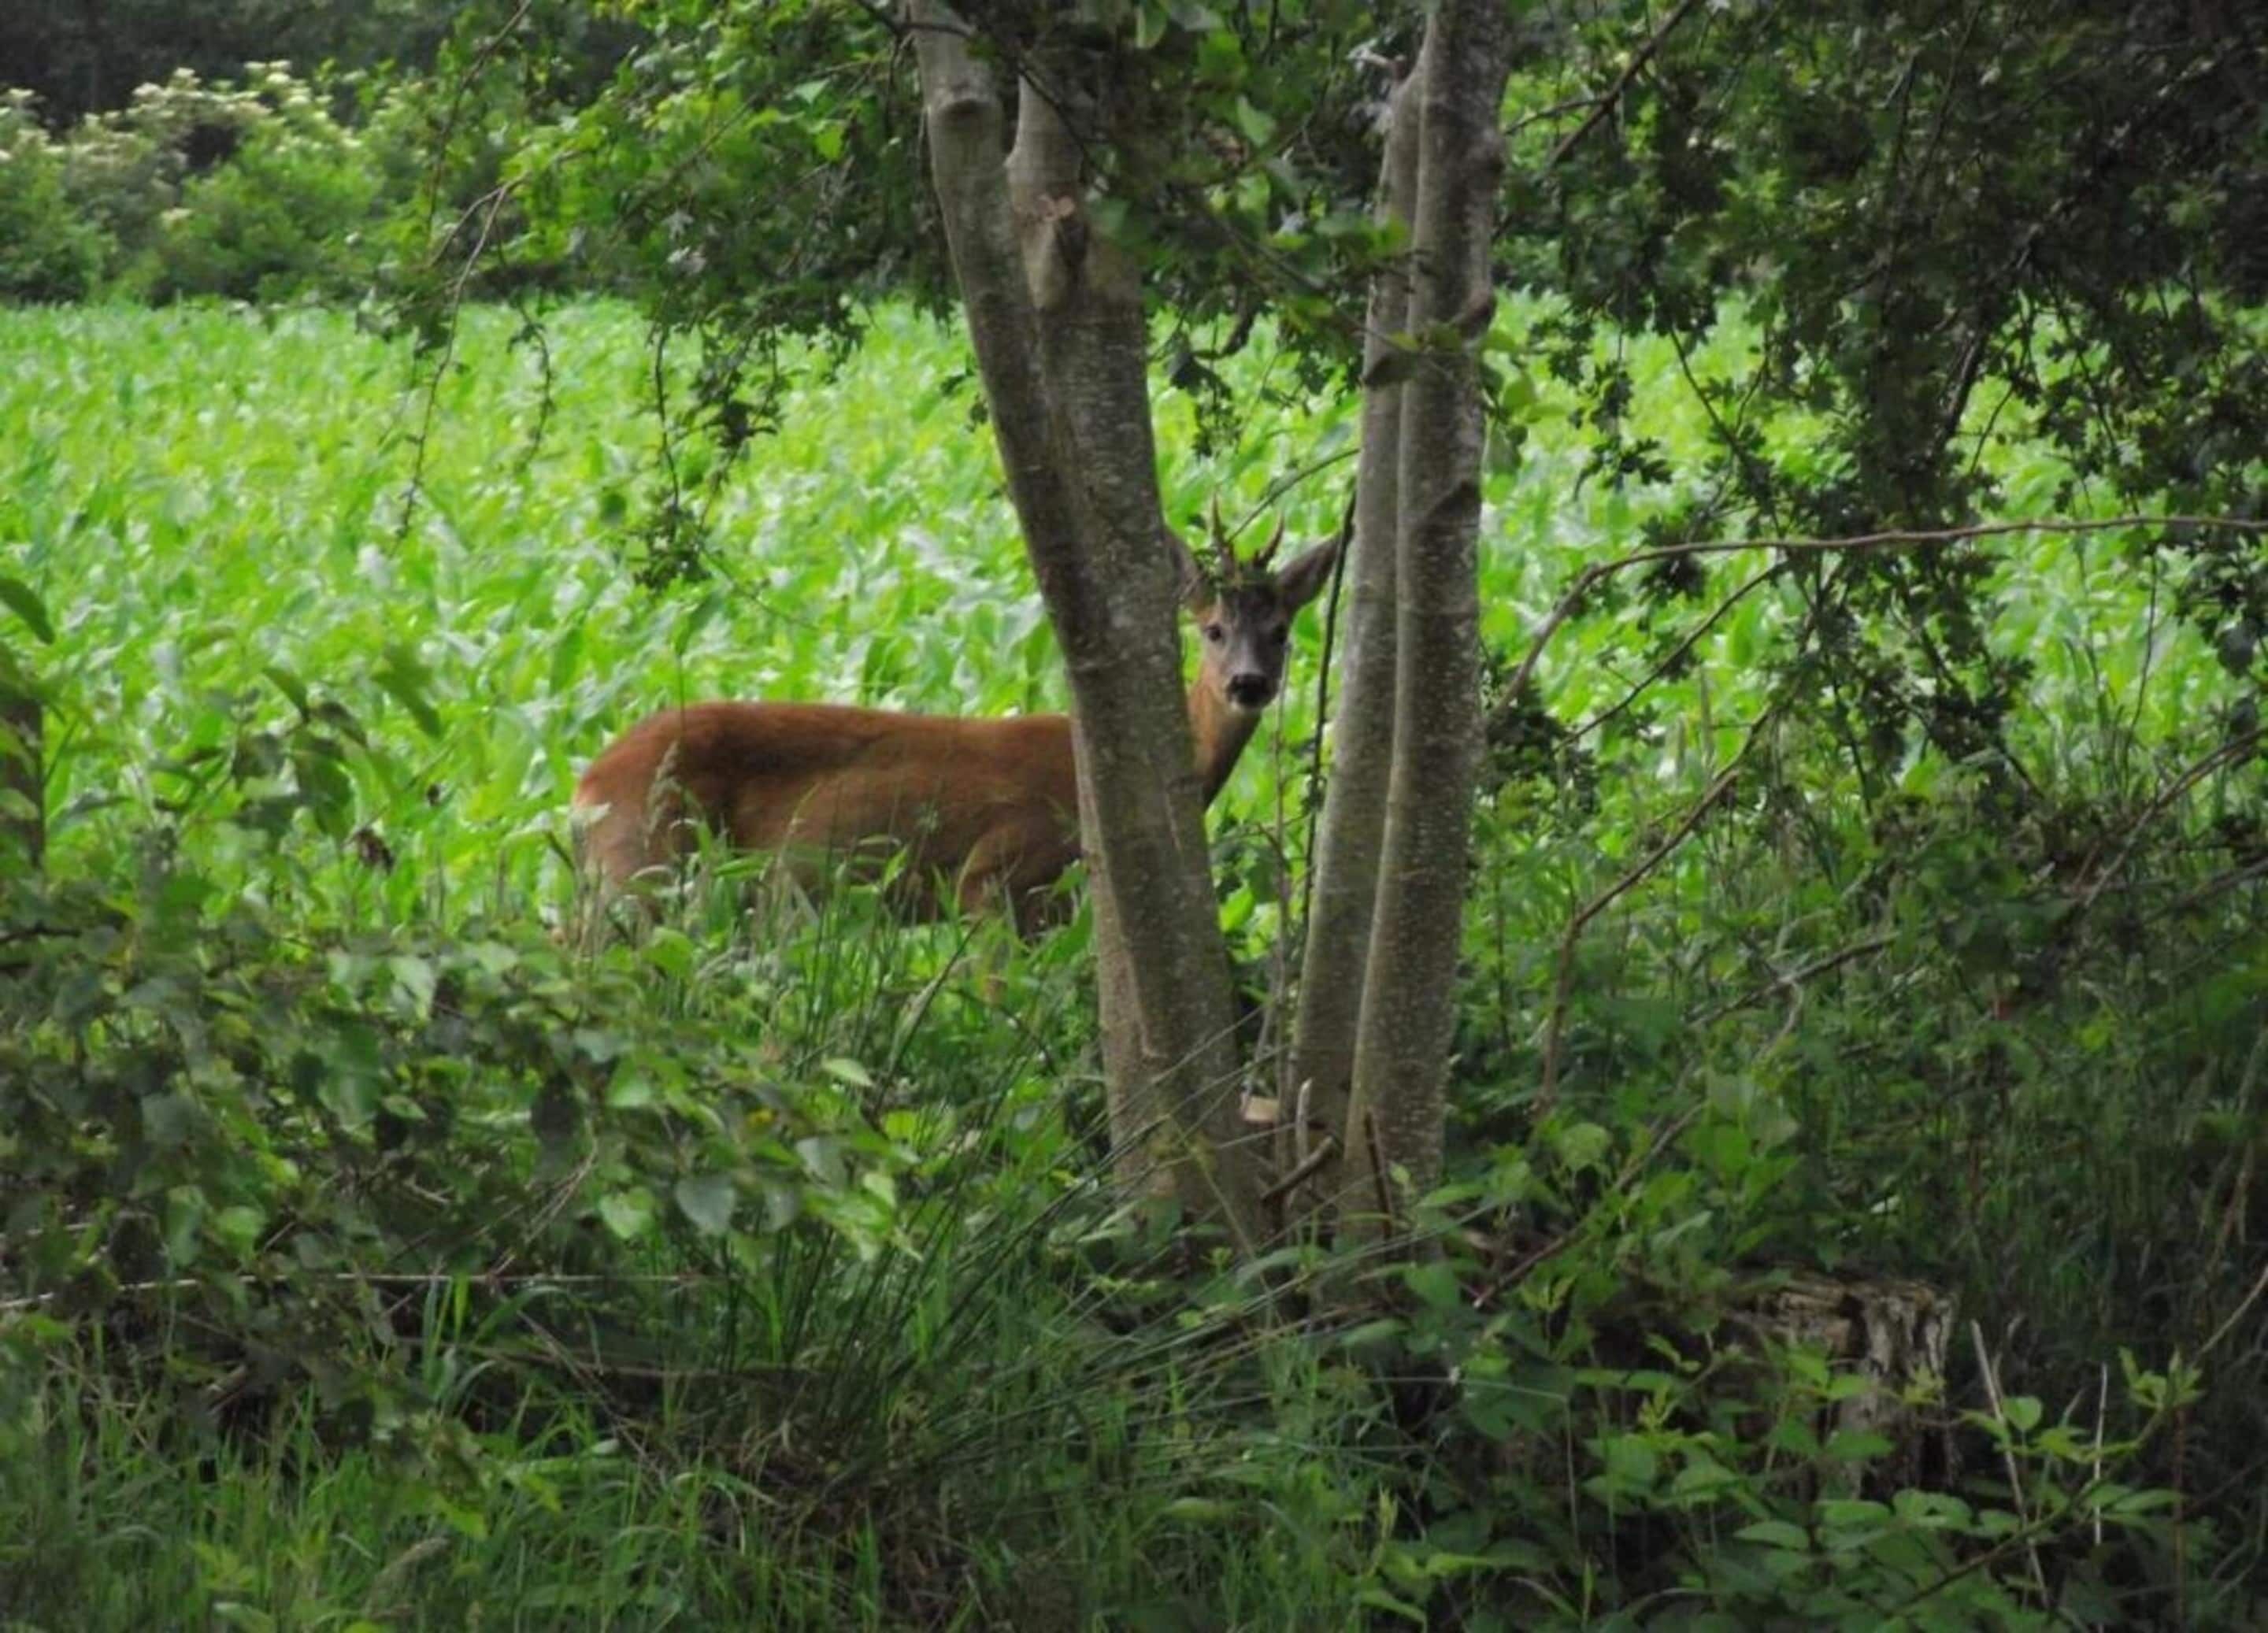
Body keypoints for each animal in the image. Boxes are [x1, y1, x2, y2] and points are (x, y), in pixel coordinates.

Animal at [570, 519, 1339, 936]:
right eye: (1212, 630)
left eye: (1281, 631)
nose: (1249, 683)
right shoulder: (993, 874)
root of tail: (585, 783)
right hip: (645, 864)